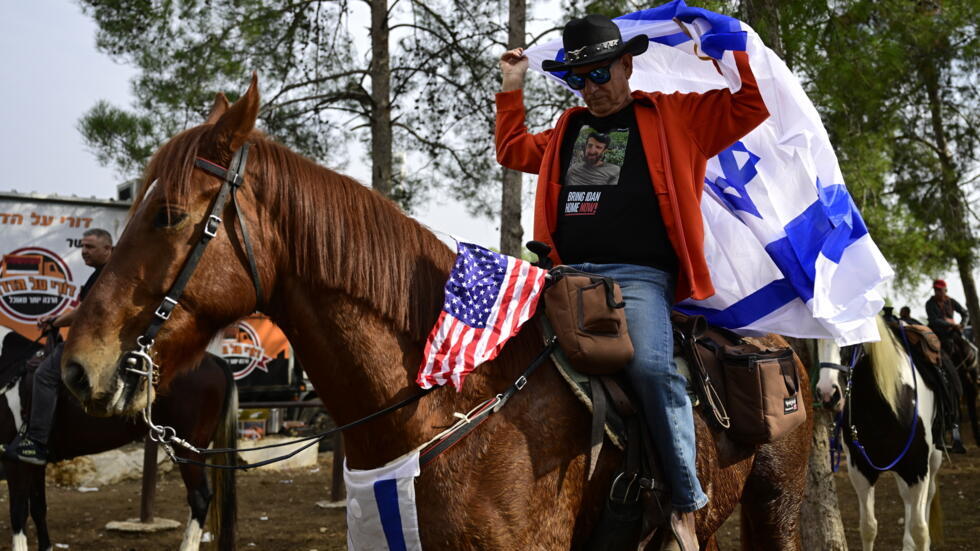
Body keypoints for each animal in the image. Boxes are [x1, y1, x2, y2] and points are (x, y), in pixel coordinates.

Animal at [0, 328, 237, 551]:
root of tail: (216, 361)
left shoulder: (13, 462)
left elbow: (18, 512)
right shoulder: (33, 462)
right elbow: (38, 508)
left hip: (188, 449)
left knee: (199, 498)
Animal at [816, 316, 944, 551]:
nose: (828, 394)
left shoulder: (918, 468)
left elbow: (920, 530)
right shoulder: (861, 470)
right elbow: (868, 527)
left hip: (932, 460)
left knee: (927, 496)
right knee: (906, 498)